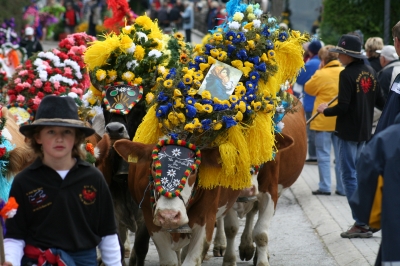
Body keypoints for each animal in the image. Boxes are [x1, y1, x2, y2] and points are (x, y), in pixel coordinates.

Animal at [212, 105, 306, 264]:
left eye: (259, 147)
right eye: (230, 152)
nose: (246, 189)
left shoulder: (270, 192)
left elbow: (261, 233)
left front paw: (262, 261)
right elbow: (231, 228)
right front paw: (229, 260)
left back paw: (250, 248)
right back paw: (222, 244)